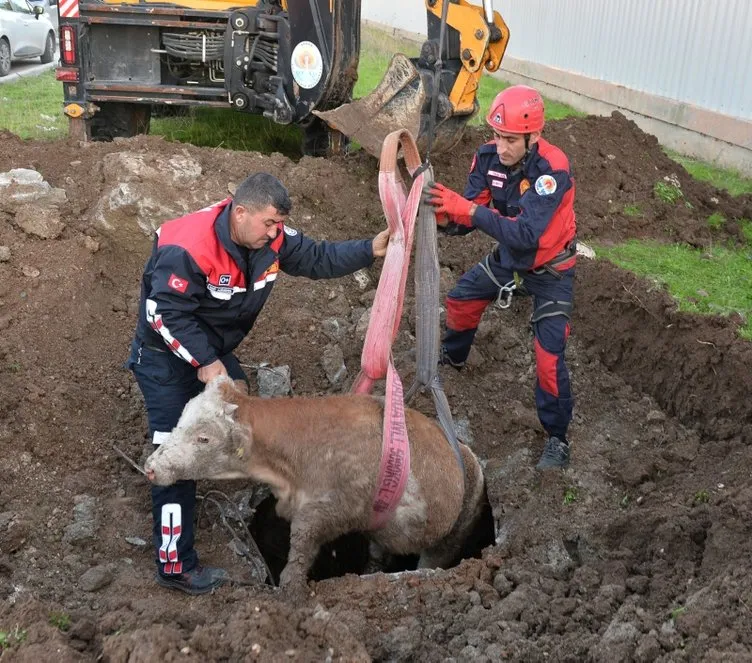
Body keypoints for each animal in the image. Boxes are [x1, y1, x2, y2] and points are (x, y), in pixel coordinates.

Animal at [144, 378, 484, 592]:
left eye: (204, 438)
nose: (151, 467)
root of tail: (468, 457)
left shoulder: (326, 512)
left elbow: (301, 549)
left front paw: (290, 588)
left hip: (448, 537)